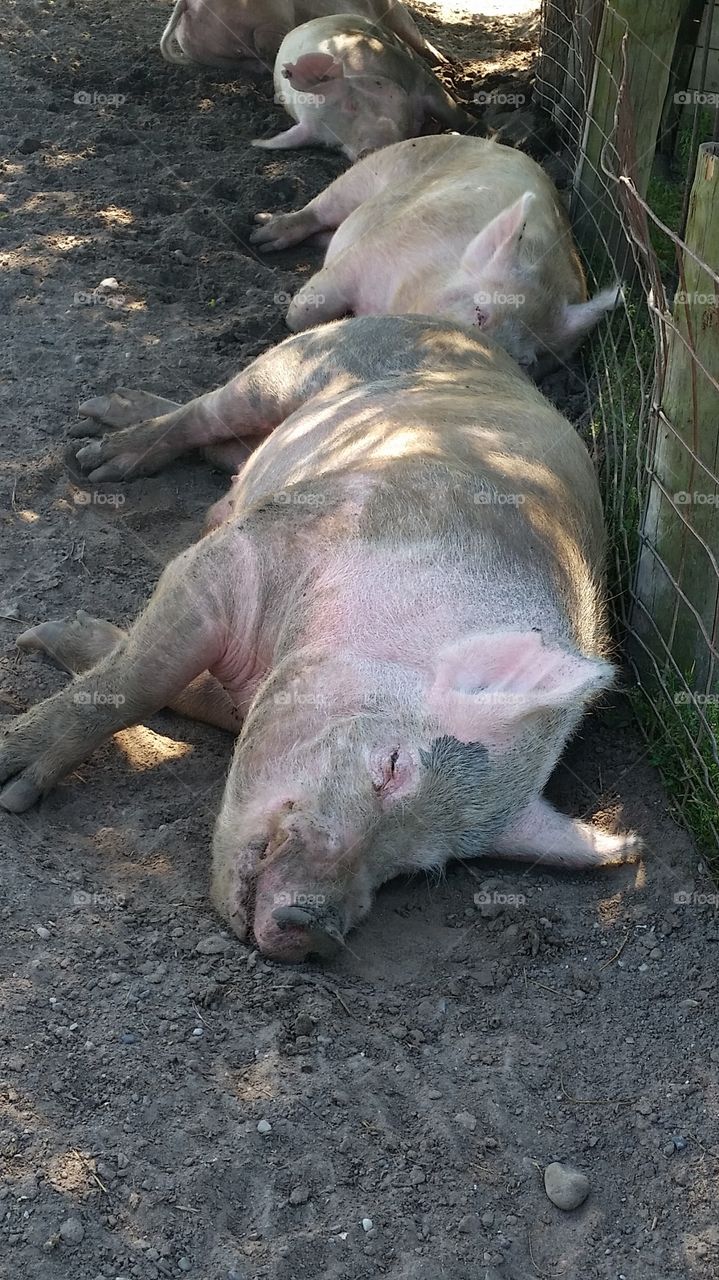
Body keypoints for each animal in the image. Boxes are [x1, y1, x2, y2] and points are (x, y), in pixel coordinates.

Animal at [0, 317, 637, 962]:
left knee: (224, 444)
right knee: (208, 412)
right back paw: (94, 451)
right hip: (295, 366)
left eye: (420, 867)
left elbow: (182, 690)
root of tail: (459, 332)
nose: (317, 929)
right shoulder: (240, 558)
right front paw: (14, 781)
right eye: (391, 765)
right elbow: (138, 683)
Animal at [249, 135, 619, 373]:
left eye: (525, 360)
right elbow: (302, 312)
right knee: (318, 208)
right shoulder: (368, 252)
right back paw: (260, 234)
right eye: (479, 312)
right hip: (370, 170)